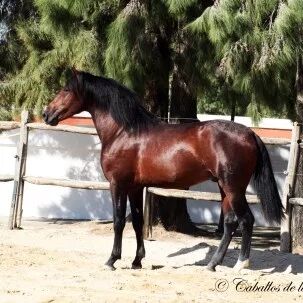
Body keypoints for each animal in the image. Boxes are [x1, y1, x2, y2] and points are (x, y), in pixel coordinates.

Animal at [44, 69, 284, 274]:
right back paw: (212, 264)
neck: (123, 132)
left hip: (233, 188)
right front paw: (137, 261)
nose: (47, 114)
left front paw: (112, 260)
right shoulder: (135, 187)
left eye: (66, 90)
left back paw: (241, 264)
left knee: (246, 220)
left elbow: (118, 221)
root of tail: (249, 133)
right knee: (230, 223)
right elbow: (137, 221)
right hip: (224, 188)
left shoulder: (117, 184)